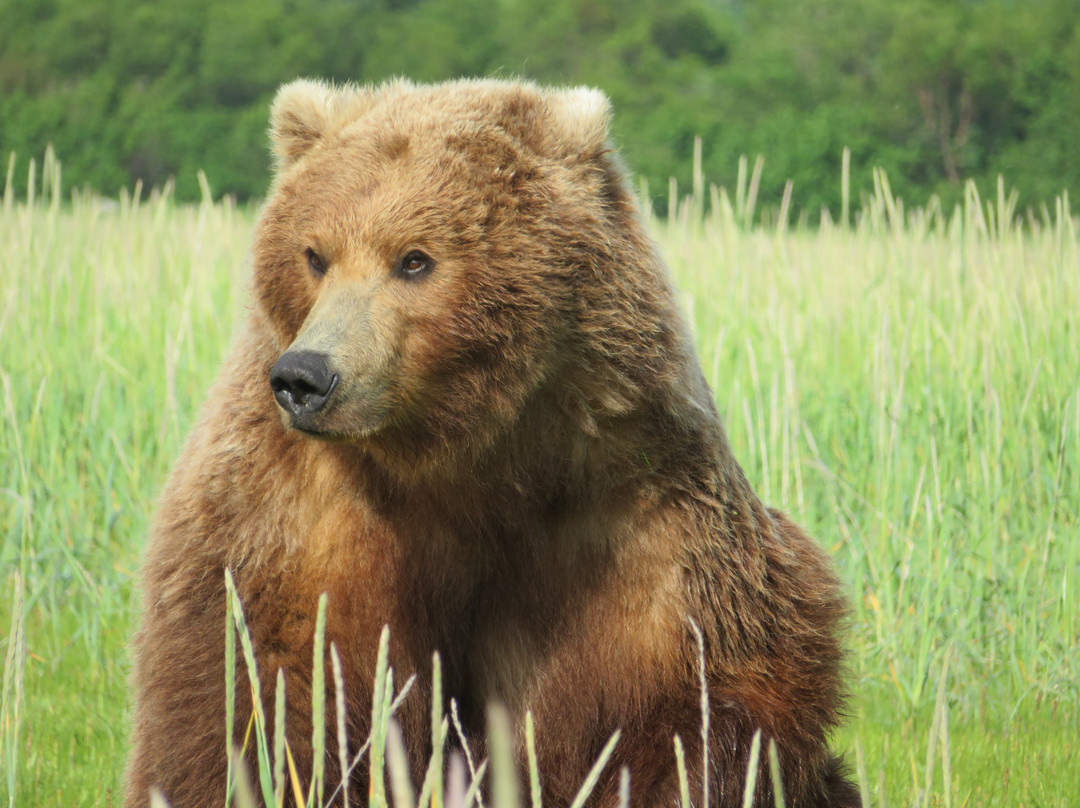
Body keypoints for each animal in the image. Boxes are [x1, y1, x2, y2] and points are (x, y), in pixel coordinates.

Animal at [122, 77, 855, 808]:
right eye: (314, 255)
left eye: (414, 259)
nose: (307, 377)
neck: (461, 451)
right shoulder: (303, 512)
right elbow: (256, 684)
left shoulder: (626, 508)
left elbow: (680, 702)